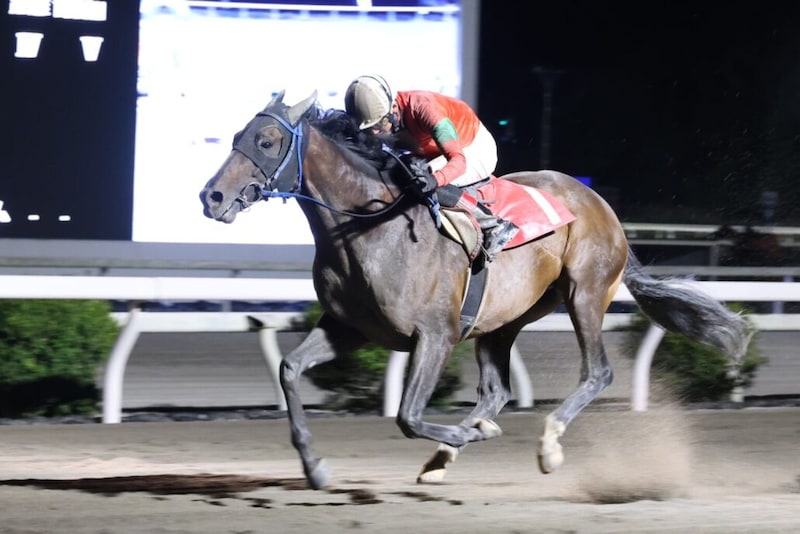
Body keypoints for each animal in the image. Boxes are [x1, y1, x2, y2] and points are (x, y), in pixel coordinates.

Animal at [199, 91, 750, 490]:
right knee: (497, 390)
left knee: (598, 372)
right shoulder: (347, 327)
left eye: (268, 140)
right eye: (238, 135)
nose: (212, 196)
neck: (368, 228)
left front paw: (465, 432)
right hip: (505, 318)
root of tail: (601, 205)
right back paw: (449, 453)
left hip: (584, 293)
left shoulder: (435, 334)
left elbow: (408, 414)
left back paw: (545, 445)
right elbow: (290, 370)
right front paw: (314, 468)